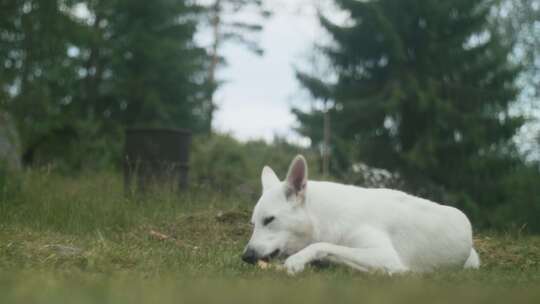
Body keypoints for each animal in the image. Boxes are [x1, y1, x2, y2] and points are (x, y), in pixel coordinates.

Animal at [243, 156, 478, 274]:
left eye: (269, 220)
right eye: (254, 224)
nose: (246, 257)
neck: (326, 216)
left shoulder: (386, 257)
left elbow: (323, 246)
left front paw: (298, 260)